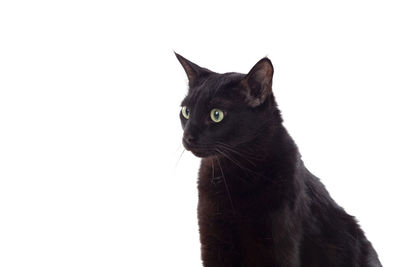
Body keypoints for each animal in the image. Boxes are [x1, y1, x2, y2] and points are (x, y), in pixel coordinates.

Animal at [176, 52, 382, 267]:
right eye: (186, 112)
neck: (233, 173)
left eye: (216, 115)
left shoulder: (276, 243)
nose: (187, 137)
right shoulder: (214, 239)